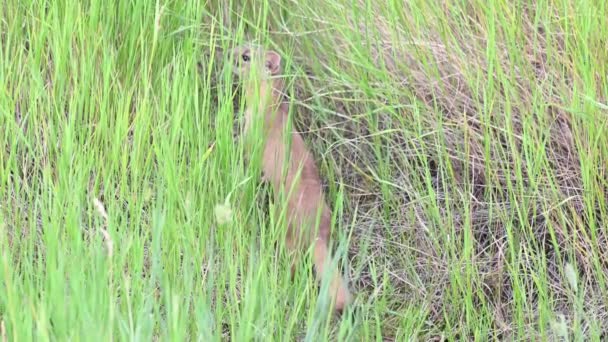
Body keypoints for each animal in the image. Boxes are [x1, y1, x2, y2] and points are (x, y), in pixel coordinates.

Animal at [230, 44, 354, 312]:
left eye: (245, 56)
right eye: (243, 45)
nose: (228, 54)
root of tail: (317, 228)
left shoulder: (250, 138)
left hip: (285, 226)